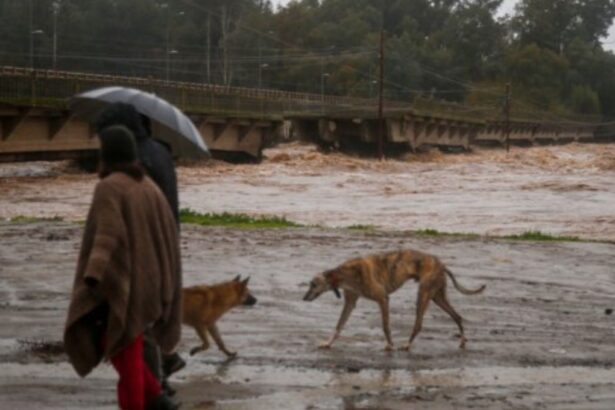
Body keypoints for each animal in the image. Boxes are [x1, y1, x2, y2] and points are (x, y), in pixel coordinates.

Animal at [304, 248, 486, 350]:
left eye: (313, 284)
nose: (304, 298)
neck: (345, 274)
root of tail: (441, 264)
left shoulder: (383, 299)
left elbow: (386, 326)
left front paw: (390, 345)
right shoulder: (350, 302)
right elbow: (339, 325)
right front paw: (327, 343)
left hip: (423, 294)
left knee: (419, 324)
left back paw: (407, 345)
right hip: (437, 296)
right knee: (457, 316)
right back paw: (462, 342)